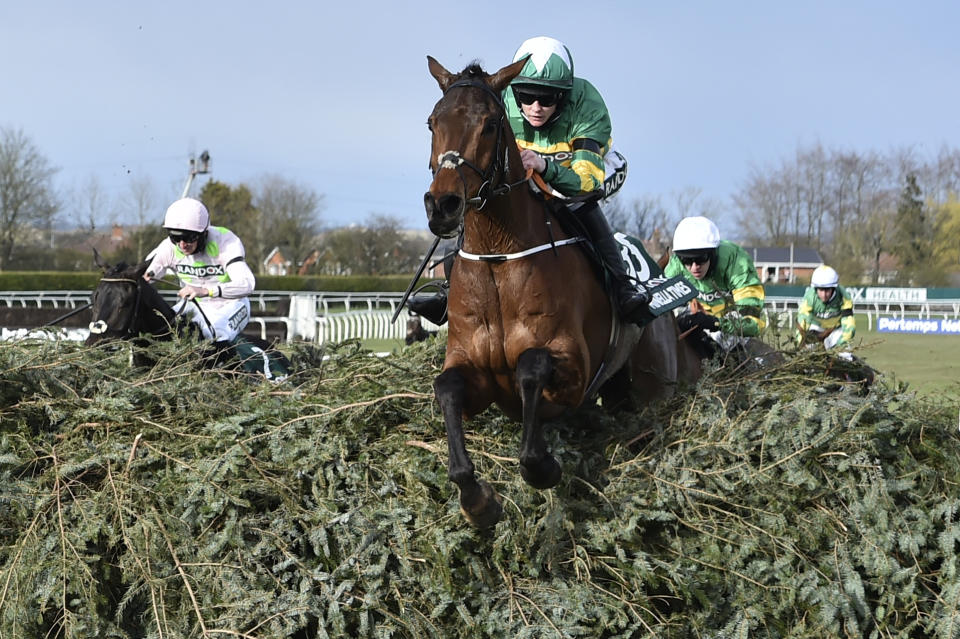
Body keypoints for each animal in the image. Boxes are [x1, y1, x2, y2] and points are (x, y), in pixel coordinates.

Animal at [428, 55, 696, 528]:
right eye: (431, 123)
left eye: (490, 124)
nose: (442, 205)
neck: (498, 259)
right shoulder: (472, 370)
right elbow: (447, 388)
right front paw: (477, 498)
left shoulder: (573, 370)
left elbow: (531, 367)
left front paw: (542, 466)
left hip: (654, 386)